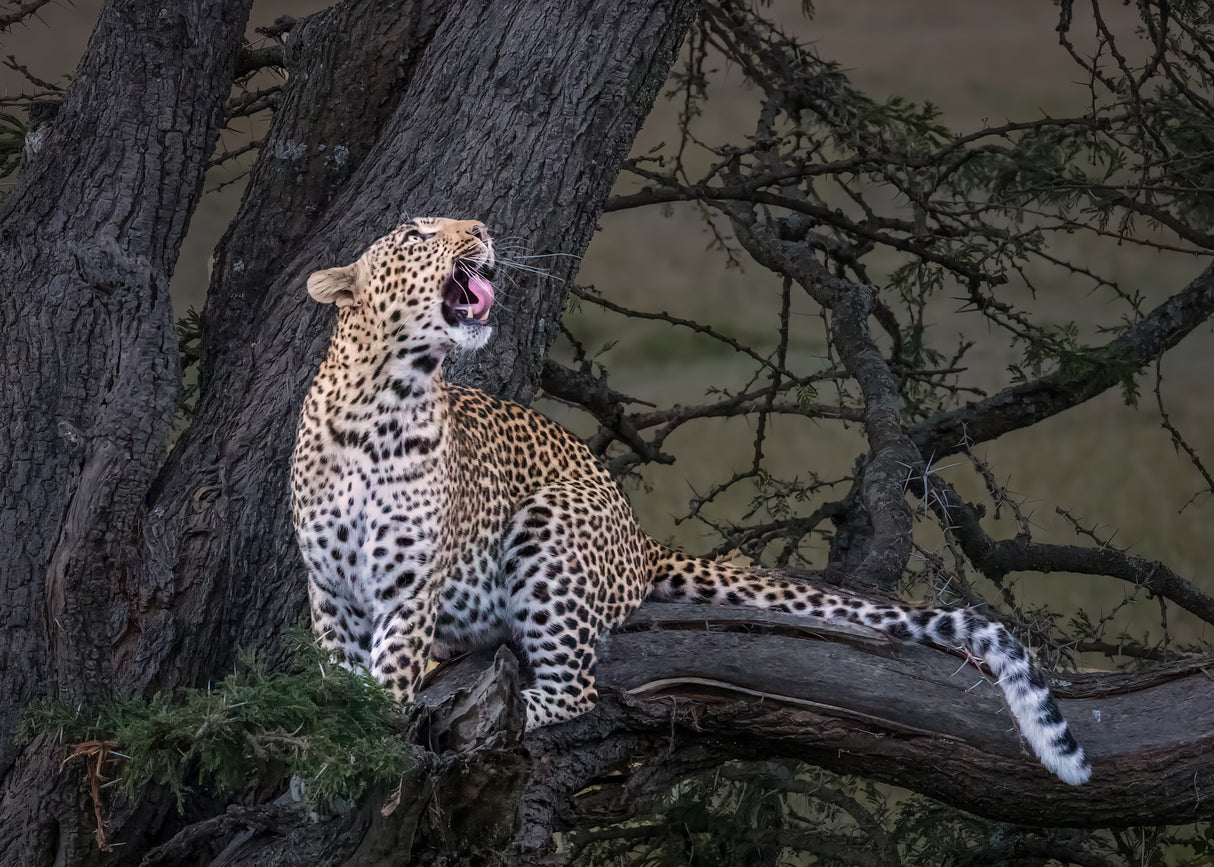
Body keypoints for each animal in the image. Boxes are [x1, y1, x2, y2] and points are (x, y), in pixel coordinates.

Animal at [289, 217, 1091, 785]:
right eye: (416, 233)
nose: (483, 229)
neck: (384, 402)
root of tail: (639, 535)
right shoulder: (330, 592)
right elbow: (337, 677)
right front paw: (332, 740)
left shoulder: (408, 588)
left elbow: (388, 677)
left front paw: (377, 739)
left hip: (549, 529)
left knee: (574, 689)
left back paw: (497, 719)